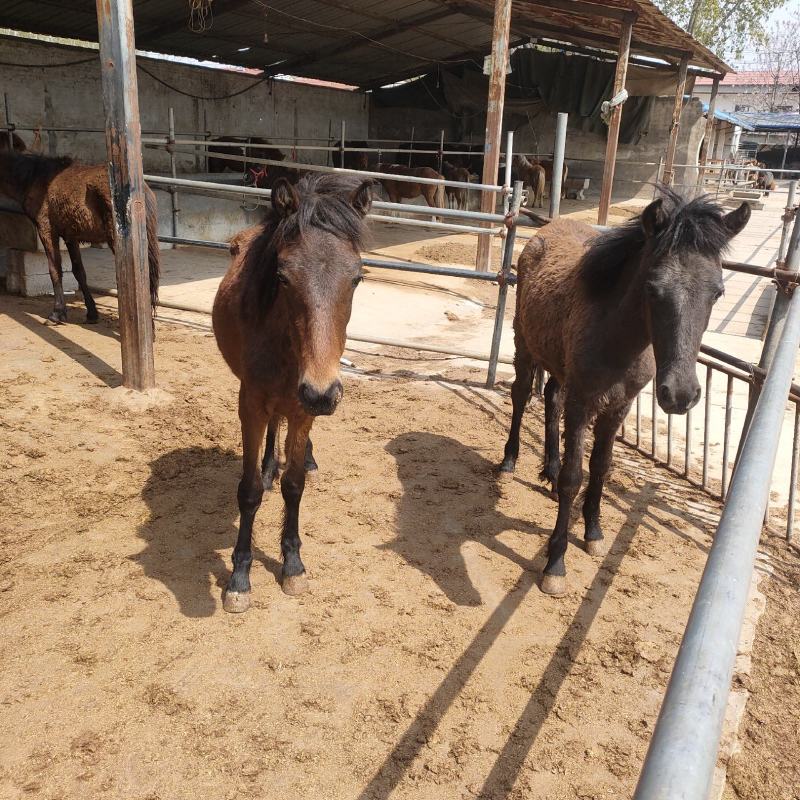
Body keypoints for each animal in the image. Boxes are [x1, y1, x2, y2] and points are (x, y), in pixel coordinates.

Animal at [0, 151, 160, 325]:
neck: (36, 177)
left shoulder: (46, 230)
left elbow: (55, 270)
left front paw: (57, 314)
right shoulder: (70, 237)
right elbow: (79, 272)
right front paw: (92, 313)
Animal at [212, 173, 373, 613]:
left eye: (357, 278)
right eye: (282, 277)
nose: (321, 393)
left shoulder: (303, 411)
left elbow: (295, 485)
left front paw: (293, 564)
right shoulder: (250, 405)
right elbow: (249, 491)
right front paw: (239, 577)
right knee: (272, 432)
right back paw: (269, 465)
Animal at [499, 188, 750, 596]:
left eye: (718, 292)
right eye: (652, 288)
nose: (680, 394)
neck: (617, 340)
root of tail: (549, 226)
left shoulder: (619, 406)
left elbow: (601, 467)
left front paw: (594, 532)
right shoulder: (583, 403)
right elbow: (574, 476)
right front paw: (555, 564)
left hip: (559, 365)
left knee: (550, 398)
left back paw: (548, 470)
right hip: (525, 342)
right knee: (521, 394)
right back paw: (509, 462)